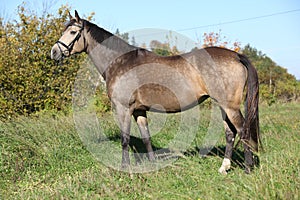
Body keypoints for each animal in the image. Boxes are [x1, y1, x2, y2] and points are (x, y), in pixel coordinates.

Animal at [51, 10, 260, 173]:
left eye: (72, 32)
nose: (54, 52)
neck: (119, 62)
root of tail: (236, 56)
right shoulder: (139, 110)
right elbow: (146, 137)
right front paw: (152, 164)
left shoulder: (123, 108)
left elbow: (125, 138)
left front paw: (124, 167)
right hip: (224, 106)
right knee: (230, 133)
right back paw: (224, 168)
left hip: (230, 107)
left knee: (243, 130)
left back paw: (248, 168)